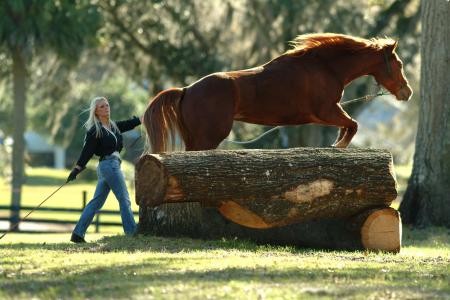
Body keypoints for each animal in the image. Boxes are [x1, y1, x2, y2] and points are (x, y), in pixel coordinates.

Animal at [143, 33, 412, 152]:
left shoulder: (328, 114)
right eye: (399, 64)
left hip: (195, 137)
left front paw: (337, 145)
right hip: (208, 138)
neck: (325, 66)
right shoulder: (326, 111)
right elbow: (353, 125)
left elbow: (348, 125)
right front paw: (340, 146)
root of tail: (187, 90)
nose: (407, 93)